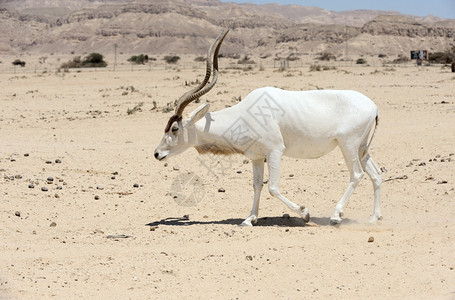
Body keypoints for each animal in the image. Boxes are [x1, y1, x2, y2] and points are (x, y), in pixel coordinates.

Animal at [155, 29, 382, 226]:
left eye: (174, 129)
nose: (157, 154)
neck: (244, 114)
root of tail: (373, 106)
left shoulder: (275, 152)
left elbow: (272, 187)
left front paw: (305, 213)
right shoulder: (256, 157)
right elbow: (257, 185)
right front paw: (249, 219)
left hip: (348, 145)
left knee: (357, 174)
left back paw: (336, 216)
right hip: (361, 148)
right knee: (376, 174)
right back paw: (374, 218)